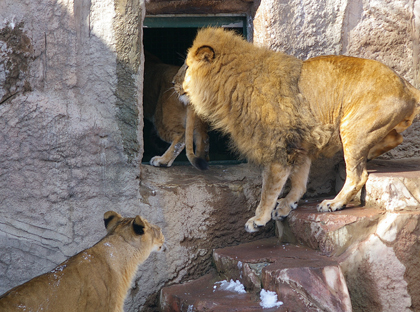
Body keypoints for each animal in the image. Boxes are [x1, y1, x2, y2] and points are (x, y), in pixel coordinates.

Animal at [172, 28, 418, 233]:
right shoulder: (299, 142)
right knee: (396, 137)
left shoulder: (278, 146)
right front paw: (287, 204)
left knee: (358, 175)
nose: (173, 83)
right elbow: (298, 180)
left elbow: (269, 189)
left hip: (352, 127)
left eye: (186, 66)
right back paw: (370, 154)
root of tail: (408, 85)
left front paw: (258, 220)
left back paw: (334, 202)